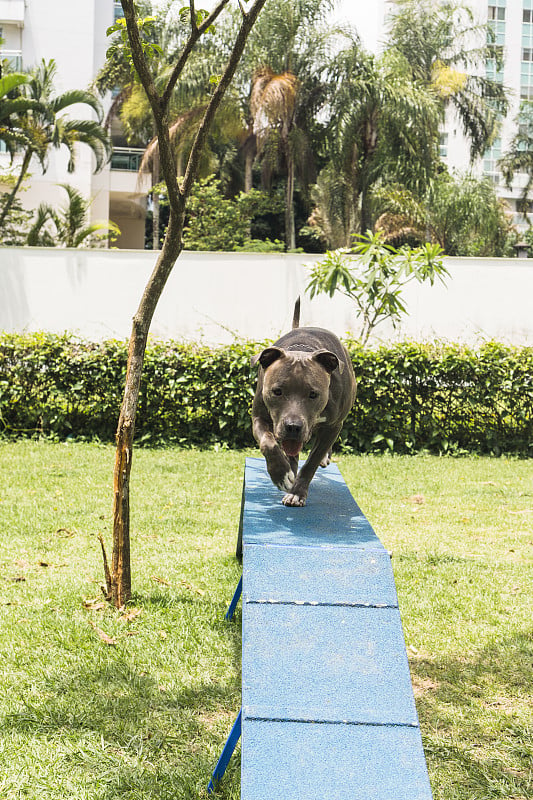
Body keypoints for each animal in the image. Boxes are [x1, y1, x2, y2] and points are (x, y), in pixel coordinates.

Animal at [251, 300, 356, 506]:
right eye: (277, 391)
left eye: (313, 394)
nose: (293, 426)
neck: (301, 351)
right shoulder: (259, 416)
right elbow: (268, 442)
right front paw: (282, 474)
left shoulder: (333, 425)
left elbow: (311, 462)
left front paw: (297, 493)